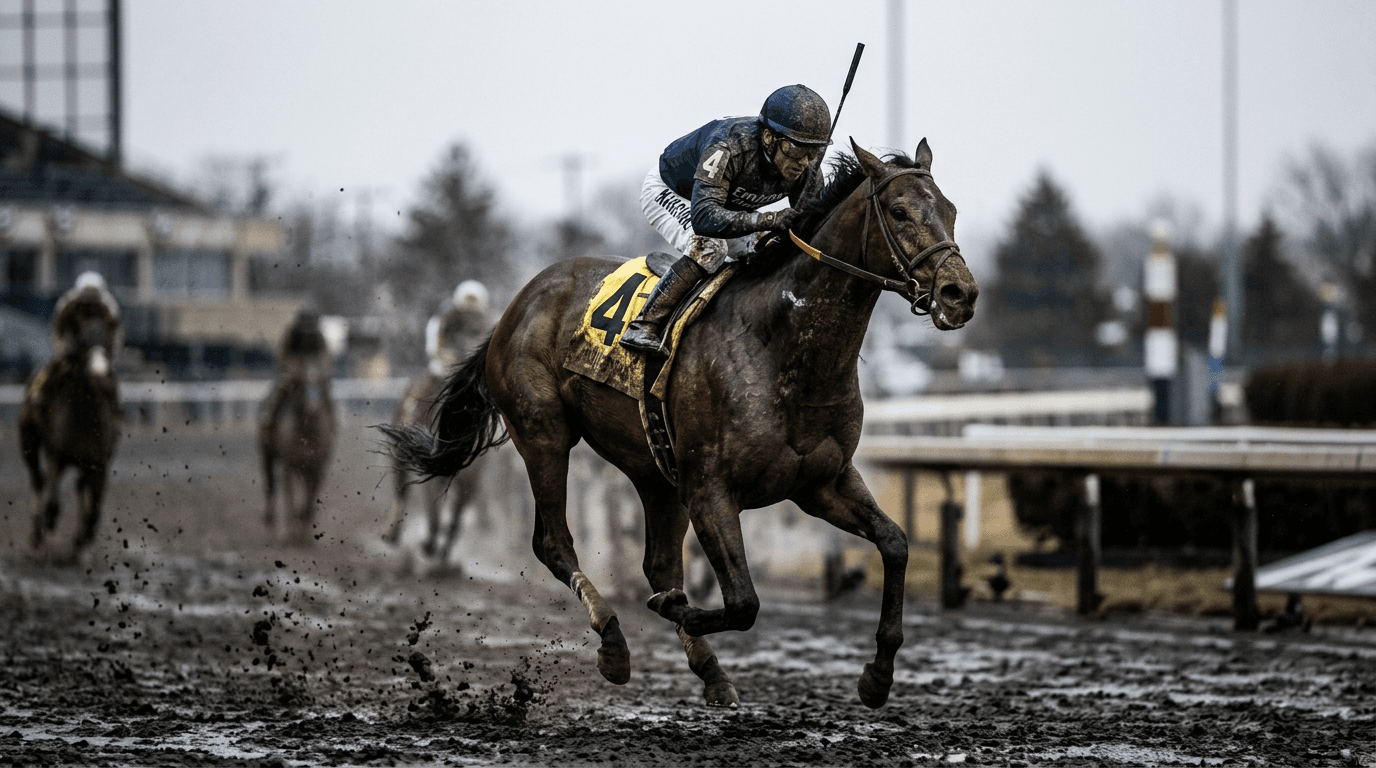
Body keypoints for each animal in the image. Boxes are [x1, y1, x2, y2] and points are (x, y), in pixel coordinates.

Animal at [19, 345, 121, 555]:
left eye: (110, 370)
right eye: (86, 362)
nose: (104, 386)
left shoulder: (98, 464)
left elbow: (94, 508)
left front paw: (83, 538)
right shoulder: (56, 456)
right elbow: (53, 501)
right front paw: (50, 522)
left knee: (79, 487)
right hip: (28, 441)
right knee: (38, 479)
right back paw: (37, 534)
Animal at [259, 362, 336, 545]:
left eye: (320, 384)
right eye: (303, 384)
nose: (313, 407)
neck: (307, 434)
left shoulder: (317, 467)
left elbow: (310, 498)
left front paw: (304, 533)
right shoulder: (288, 465)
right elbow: (289, 498)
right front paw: (291, 533)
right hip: (267, 457)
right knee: (270, 485)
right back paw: (270, 522)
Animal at [383, 139, 978, 709]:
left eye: (950, 209)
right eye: (899, 211)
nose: (961, 294)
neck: (782, 347)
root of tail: (518, 303)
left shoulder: (821, 481)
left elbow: (895, 543)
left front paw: (878, 675)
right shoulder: (710, 488)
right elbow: (742, 602)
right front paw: (678, 611)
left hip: (654, 471)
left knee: (658, 563)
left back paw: (710, 671)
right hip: (544, 435)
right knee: (554, 543)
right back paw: (614, 642)